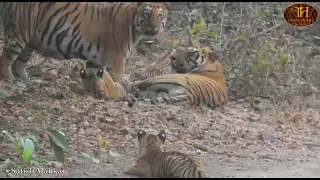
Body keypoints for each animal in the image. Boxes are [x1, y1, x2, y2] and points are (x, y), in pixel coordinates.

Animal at [0, 1, 169, 82]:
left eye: (160, 15)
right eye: (147, 14)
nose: (154, 27)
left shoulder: (95, 61)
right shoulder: (117, 61)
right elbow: (116, 80)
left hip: (30, 43)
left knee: (19, 63)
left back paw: (27, 81)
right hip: (18, 35)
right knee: (5, 60)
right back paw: (10, 80)